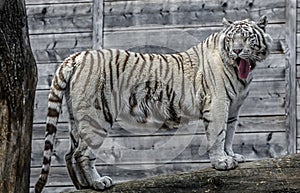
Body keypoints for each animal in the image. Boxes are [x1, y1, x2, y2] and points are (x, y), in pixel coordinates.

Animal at [34, 16, 272, 191]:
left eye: (247, 38)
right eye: (232, 40)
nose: (237, 50)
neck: (240, 71)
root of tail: (76, 56)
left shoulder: (233, 107)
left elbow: (229, 133)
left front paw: (232, 156)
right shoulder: (218, 104)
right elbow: (219, 134)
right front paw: (222, 163)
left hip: (76, 117)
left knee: (69, 153)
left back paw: (82, 186)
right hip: (98, 116)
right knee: (82, 154)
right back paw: (98, 183)